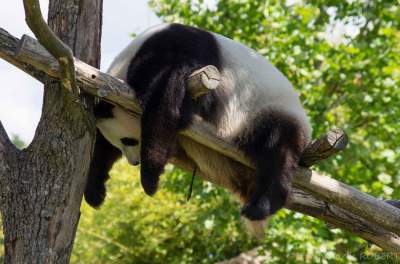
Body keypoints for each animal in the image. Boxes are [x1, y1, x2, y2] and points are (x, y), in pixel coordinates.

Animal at [85, 23, 312, 227]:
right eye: (119, 144)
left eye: (129, 140)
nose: (134, 162)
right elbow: (101, 149)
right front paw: (95, 191)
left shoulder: (181, 52)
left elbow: (166, 102)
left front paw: (150, 179)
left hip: (264, 110)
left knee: (277, 149)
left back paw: (261, 205)